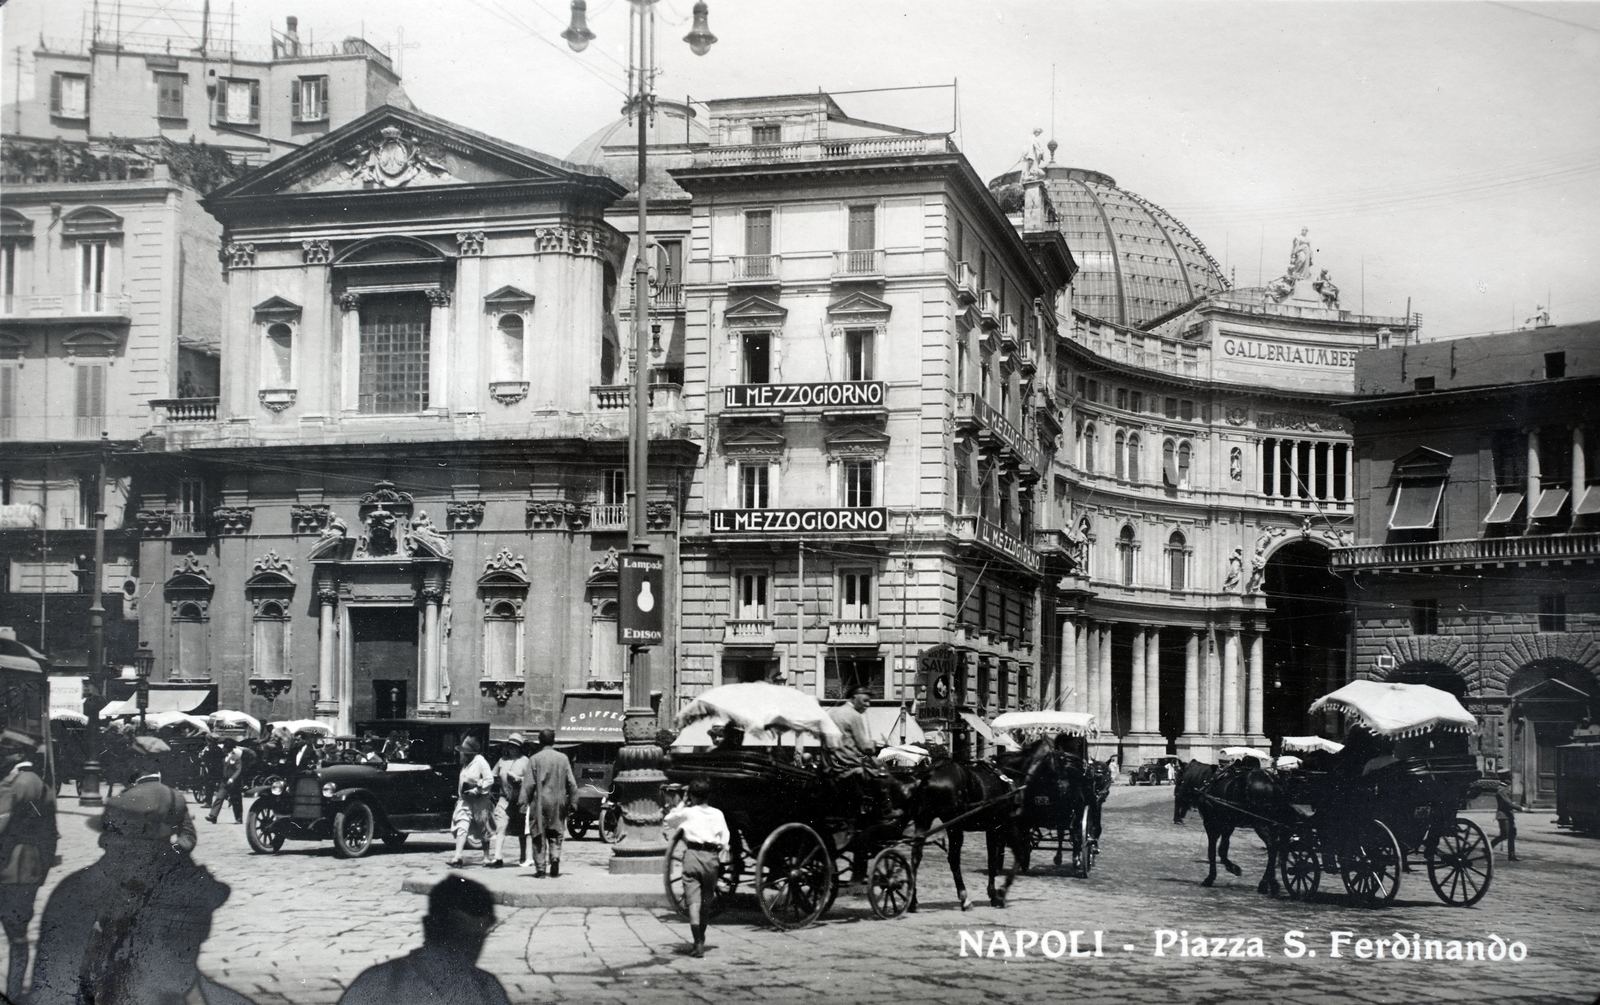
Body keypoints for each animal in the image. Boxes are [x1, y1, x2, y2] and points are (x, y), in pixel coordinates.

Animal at [908, 755, 1030, 908]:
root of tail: (931, 772)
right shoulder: (1004, 825)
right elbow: (1012, 856)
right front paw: (1000, 894)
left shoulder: (991, 828)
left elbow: (992, 859)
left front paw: (993, 893)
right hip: (954, 826)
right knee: (953, 859)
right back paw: (964, 897)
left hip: (923, 821)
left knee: (916, 856)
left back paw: (912, 900)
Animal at [1177, 755, 1299, 896]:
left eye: (1179, 777)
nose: (1178, 795)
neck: (1209, 782)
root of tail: (1273, 781)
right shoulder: (1228, 825)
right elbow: (1223, 848)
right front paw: (1232, 867)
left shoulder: (1210, 823)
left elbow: (1212, 850)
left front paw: (1211, 877)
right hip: (1275, 824)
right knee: (1278, 846)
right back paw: (1272, 882)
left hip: (1260, 823)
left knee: (1272, 845)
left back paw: (1265, 883)